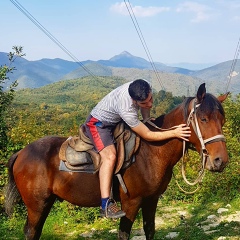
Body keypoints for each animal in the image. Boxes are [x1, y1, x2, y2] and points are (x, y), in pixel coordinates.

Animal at [4, 83, 229, 239]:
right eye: (203, 119)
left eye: (222, 119)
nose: (220, 161)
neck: (151, 153)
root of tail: (22, 153)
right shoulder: (130, 203)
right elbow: (124, 234)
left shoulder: (151, 200)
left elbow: (150, 230)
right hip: (36, 205)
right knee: (31, 231)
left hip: (45, 202)